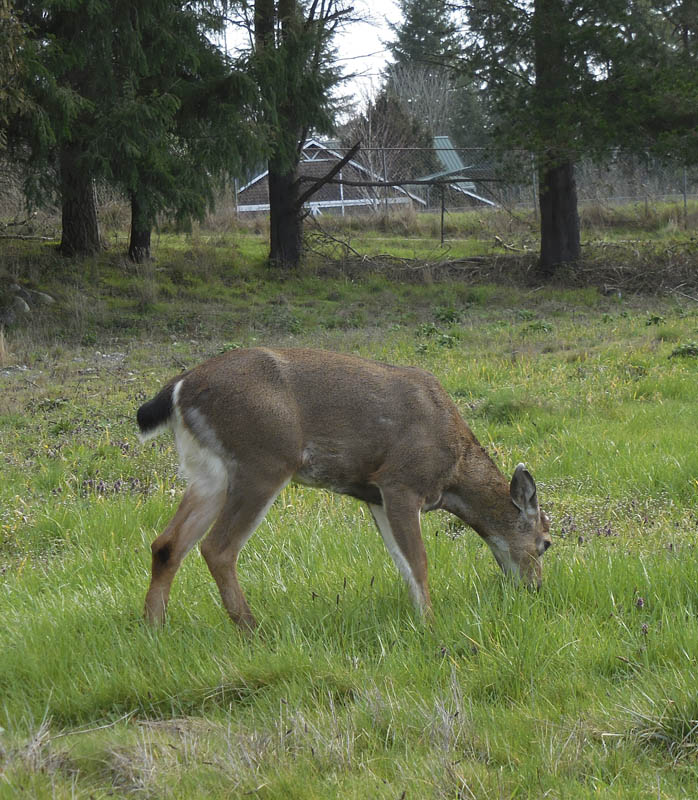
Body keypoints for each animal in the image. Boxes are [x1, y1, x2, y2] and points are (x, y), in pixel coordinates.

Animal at [137, 347, 551, 630]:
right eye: (545, 543)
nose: (535, 589)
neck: (454, 471)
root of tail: (180, 387)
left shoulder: (375, 495)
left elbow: (402, 563)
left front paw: (417, 619)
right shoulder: (401, 481)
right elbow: (419, 562)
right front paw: (431, 624)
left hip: (208, 471)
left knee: (166, 544)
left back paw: (154, 625)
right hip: (263, 460)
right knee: (217, 548)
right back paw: (252, 628)